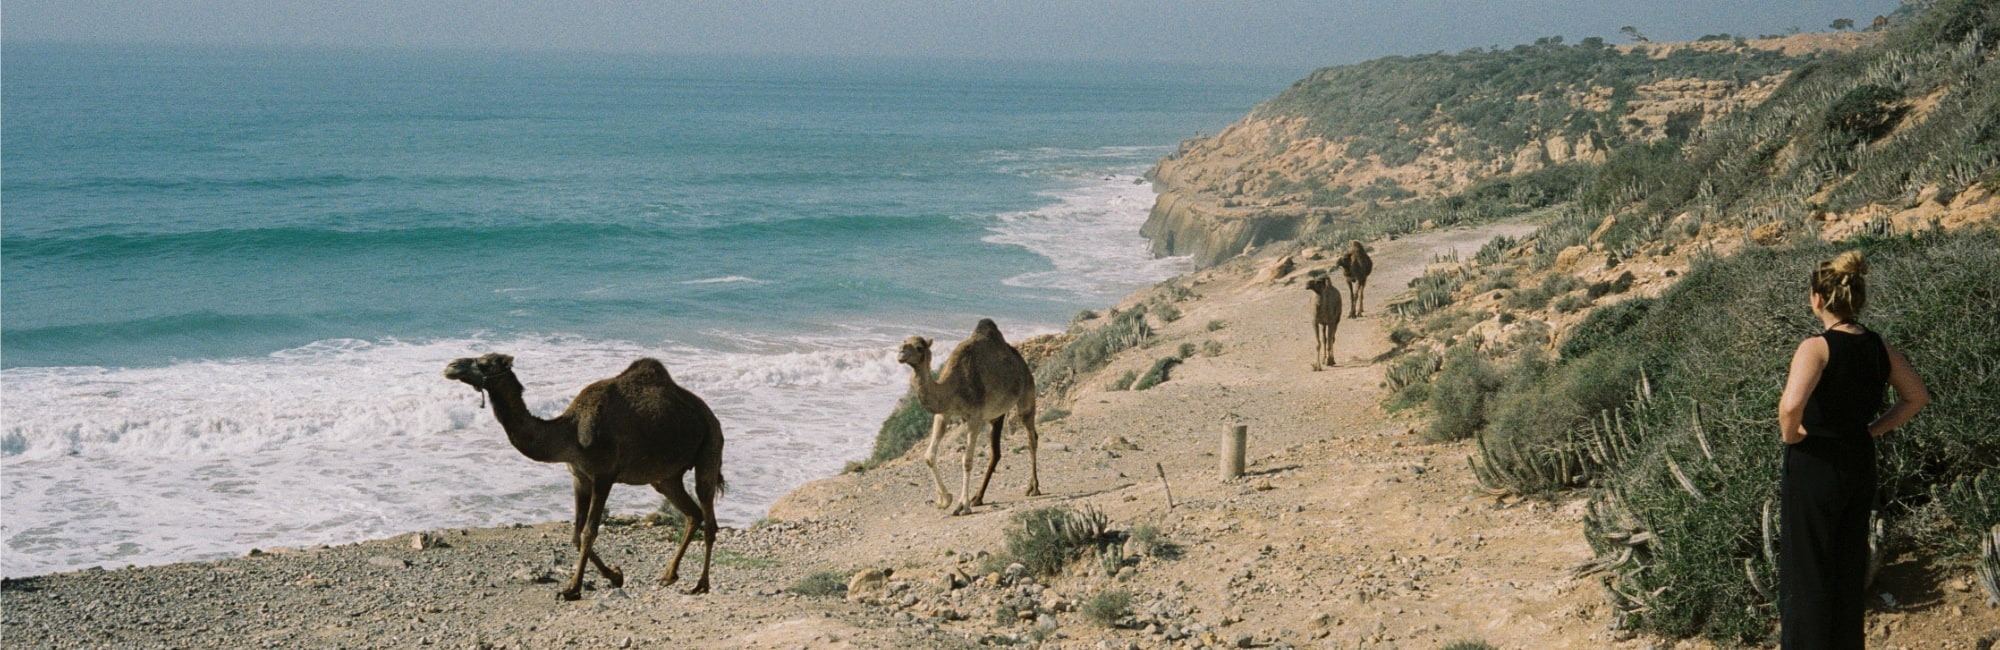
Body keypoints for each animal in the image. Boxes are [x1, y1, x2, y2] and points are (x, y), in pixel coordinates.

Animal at [442, 353, 726, 600]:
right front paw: (615, 575)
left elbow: (589, 531)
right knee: (693, 514)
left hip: (710, 447)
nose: (451, 366)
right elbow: (576, 534)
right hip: (666, 477)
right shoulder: (579, 476)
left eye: (485, 363)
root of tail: (711, 416)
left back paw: (701, 584)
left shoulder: (603, 476)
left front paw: (572, 588)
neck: (570, 432)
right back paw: (669, 576)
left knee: (708, 514)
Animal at [896, 319, 1042, 516]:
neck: (953, 386)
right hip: (997, 414)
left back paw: (1033, 488)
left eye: (919, 347)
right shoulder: (944, 413)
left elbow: (966, 461)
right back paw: (978, 498)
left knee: (1031, 437)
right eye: (904, 341)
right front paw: (945, 500)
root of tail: (1022, 363)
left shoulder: (975, 417)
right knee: (996, 452)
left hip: (1026, 394)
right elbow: (929, 455)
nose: (901, 352)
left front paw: (962, 505)